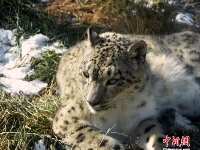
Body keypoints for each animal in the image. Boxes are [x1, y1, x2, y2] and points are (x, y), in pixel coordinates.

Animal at [52, 28, 200, 150]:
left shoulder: (143, 118)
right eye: (86, 74)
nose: (91, 102)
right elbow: (99, 141)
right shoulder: (67, 118)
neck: (117, 113)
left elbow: (155, 136)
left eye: (112, 80)